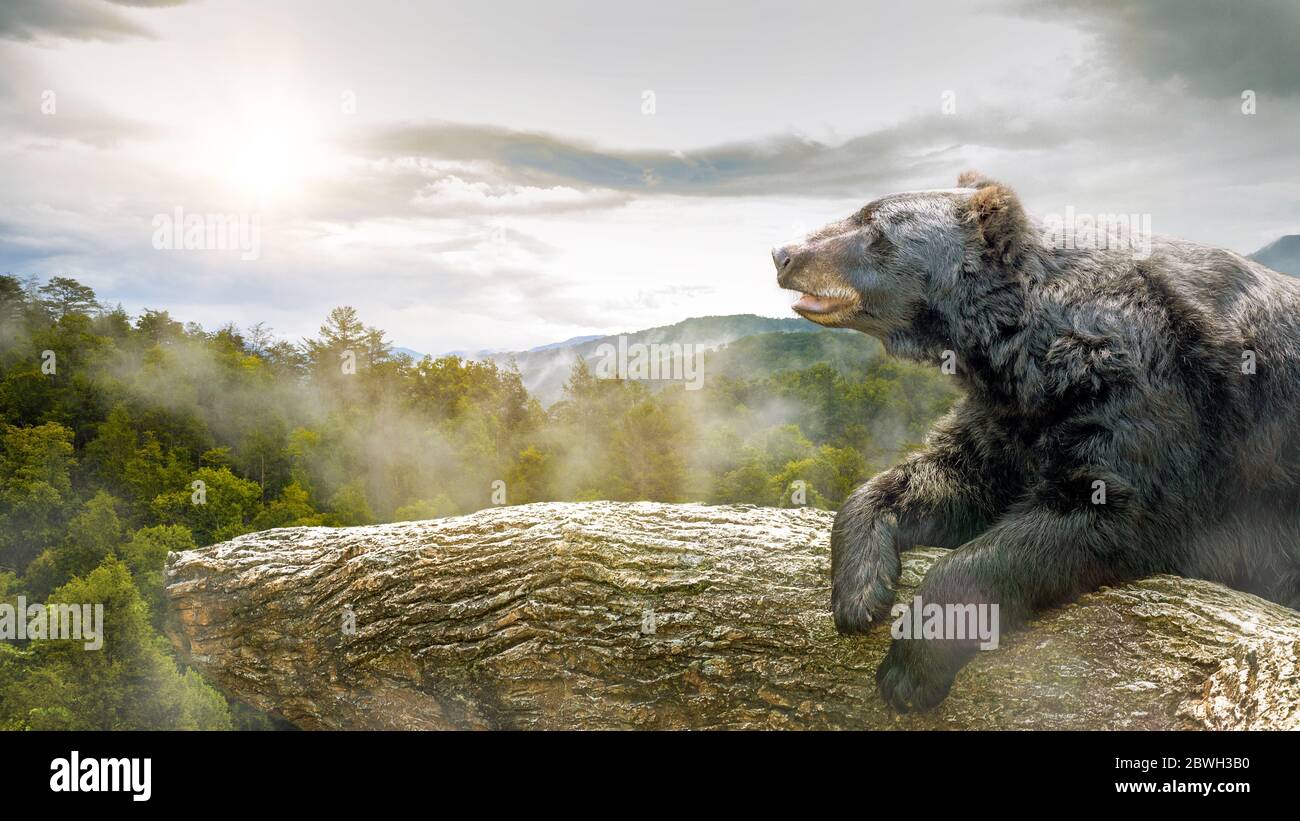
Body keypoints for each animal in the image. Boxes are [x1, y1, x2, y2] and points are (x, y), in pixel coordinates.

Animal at [771, 172, 1300, 711]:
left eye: (871, 226)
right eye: (860, 213)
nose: (782, 253)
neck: (1030, 348)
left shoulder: (1153, 391)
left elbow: (1107, 505)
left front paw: (909, 669)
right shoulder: (1007, 412)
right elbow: (946, 473)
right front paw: (859, 591)